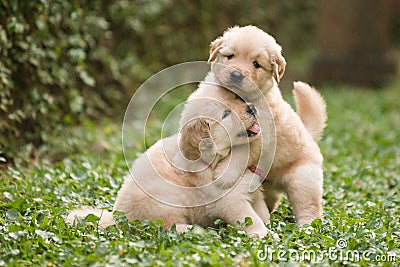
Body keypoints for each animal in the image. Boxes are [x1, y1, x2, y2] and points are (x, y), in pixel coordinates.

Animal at [203, 25, 328, 226]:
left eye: (256, 64)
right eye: (230, 56)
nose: (236, 74)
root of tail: (309, 136)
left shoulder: (263, 136)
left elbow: (241, 153)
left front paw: (224, 175)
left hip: (302, 179)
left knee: (310, 207)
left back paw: (307, 226)